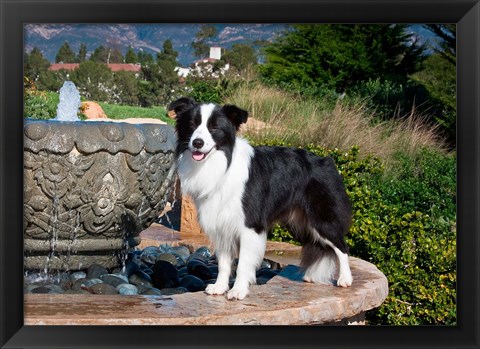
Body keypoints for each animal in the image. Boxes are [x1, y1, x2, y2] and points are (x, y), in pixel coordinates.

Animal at [169, 96, 352, 298]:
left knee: (341, 246)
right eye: (192, 125)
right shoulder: (222, 223)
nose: (197, 143)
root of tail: (327, 161)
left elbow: (243, 264)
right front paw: (220, 287)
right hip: (302, 223)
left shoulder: (250, 225)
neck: (222, 163)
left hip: (321, 219)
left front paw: (238, 290)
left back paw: (345, 279)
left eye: (214, 128)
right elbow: (224, 263)